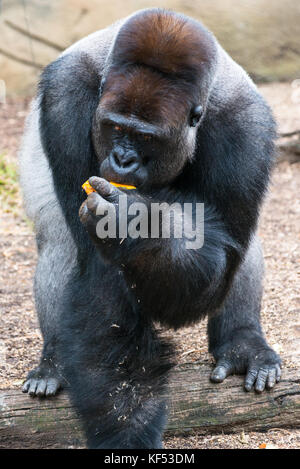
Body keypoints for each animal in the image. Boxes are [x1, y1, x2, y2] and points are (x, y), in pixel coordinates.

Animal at [19, 7, 282, 446]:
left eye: (146, 137)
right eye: (115, 128)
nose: (122, 160)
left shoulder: (248, 131)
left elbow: (216, 267)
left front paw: (138, 227)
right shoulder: (64, 99)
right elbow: (99, 272)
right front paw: (128, 420)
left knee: (242, 247)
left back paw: (243, 344)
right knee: (59, 241)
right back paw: (53, 364)